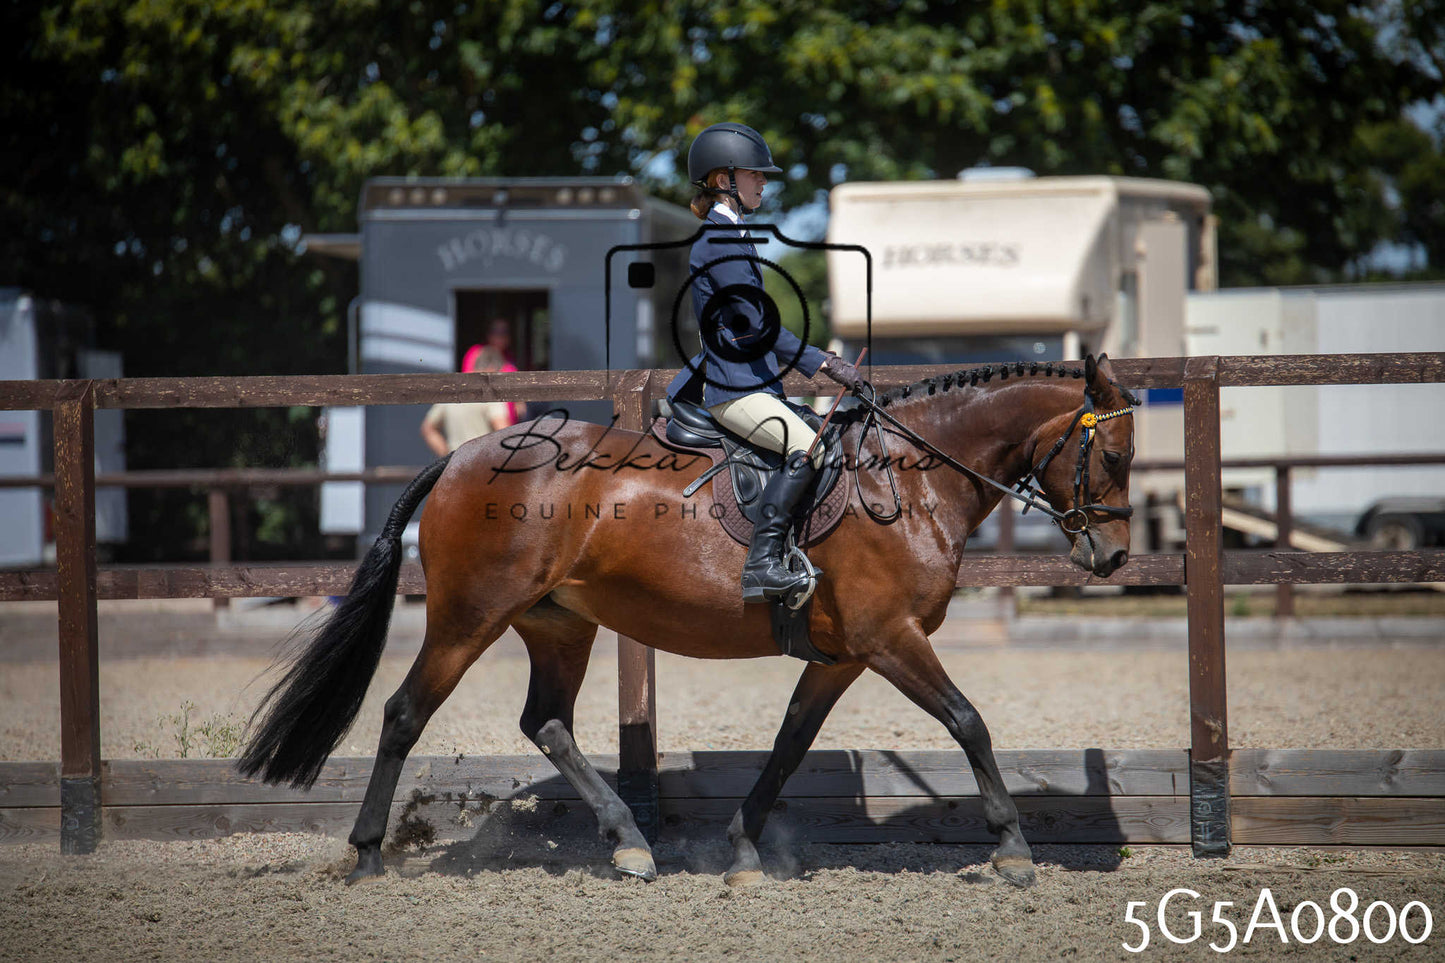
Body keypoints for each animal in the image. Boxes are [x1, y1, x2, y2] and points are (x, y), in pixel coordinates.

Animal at [238, 353, 1138, 889]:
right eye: (1114, 454)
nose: (1113, 556)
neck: (909, 478)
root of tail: (462, 456)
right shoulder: (890, 638)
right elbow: (967, 720)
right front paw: (1012, 851)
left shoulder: (845, 653)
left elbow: (788, 745)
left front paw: (740, 851)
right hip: (469, 617)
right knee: (403, 713)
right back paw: (366, 853)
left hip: (558, 624)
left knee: (547, 722)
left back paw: (628, 840)